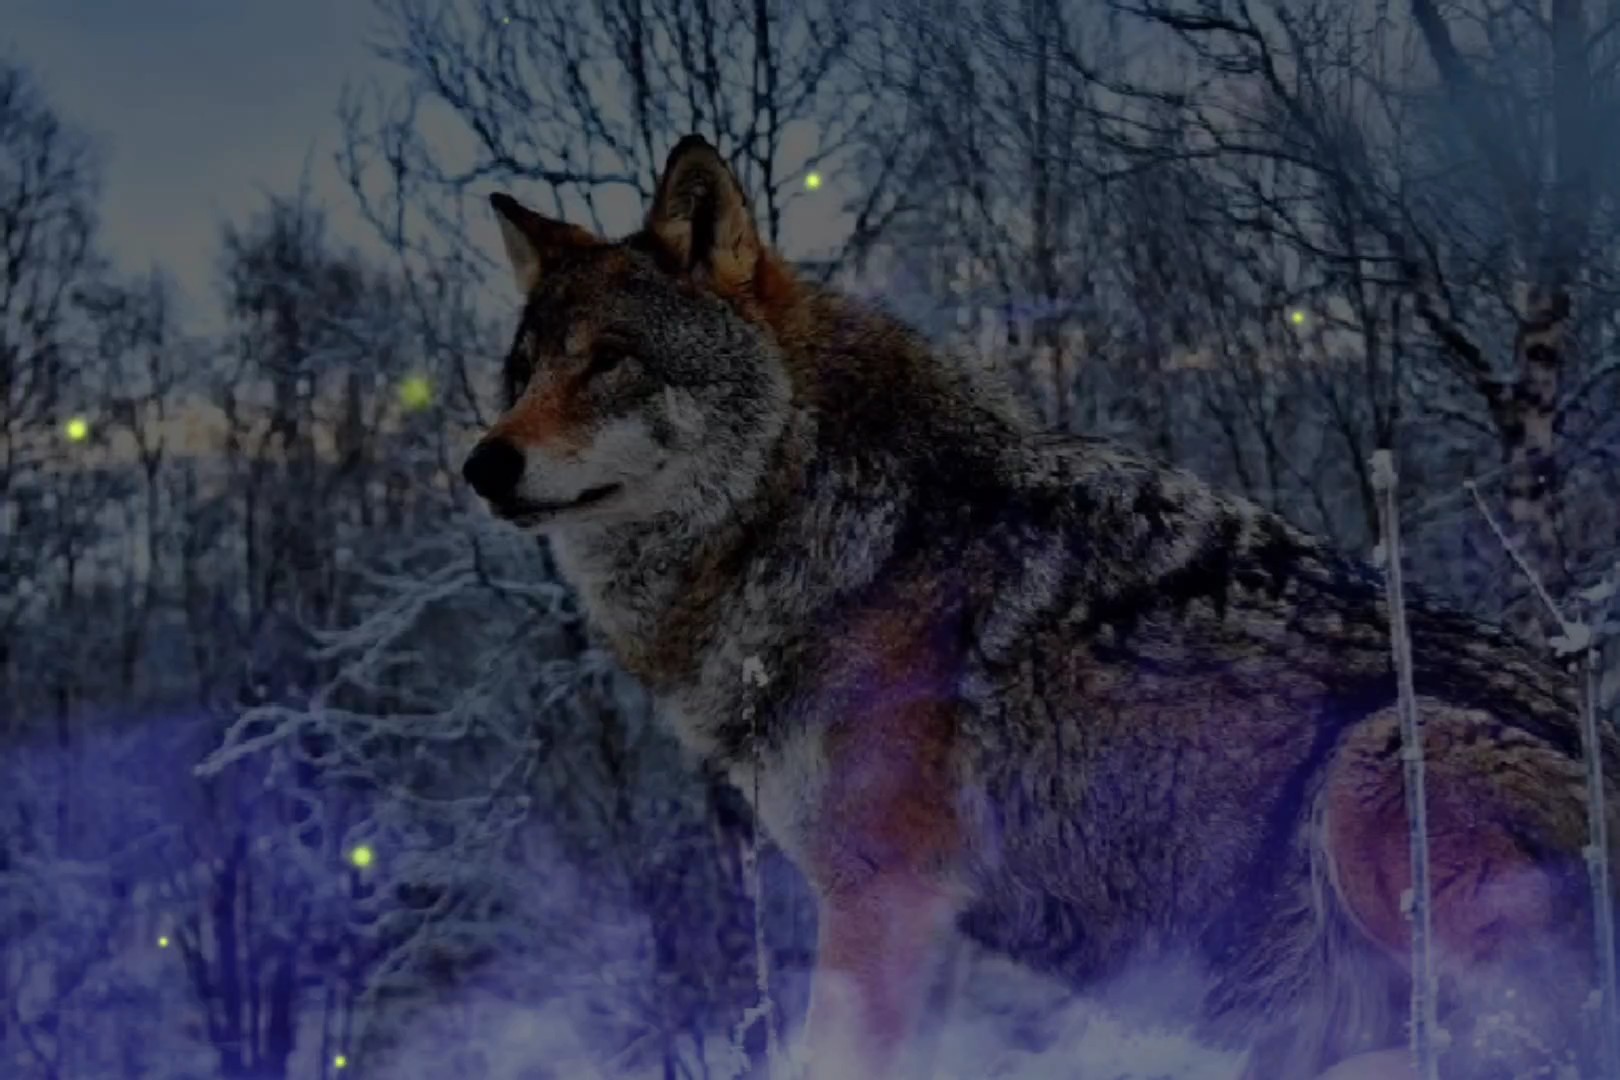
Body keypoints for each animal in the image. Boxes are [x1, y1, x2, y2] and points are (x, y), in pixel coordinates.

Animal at [462, 133, 1620, 1079]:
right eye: (521, 371)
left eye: (612, 362)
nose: (480, 462)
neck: (830, 524)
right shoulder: (925, 925)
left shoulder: (882, 898)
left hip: (1376, 762)